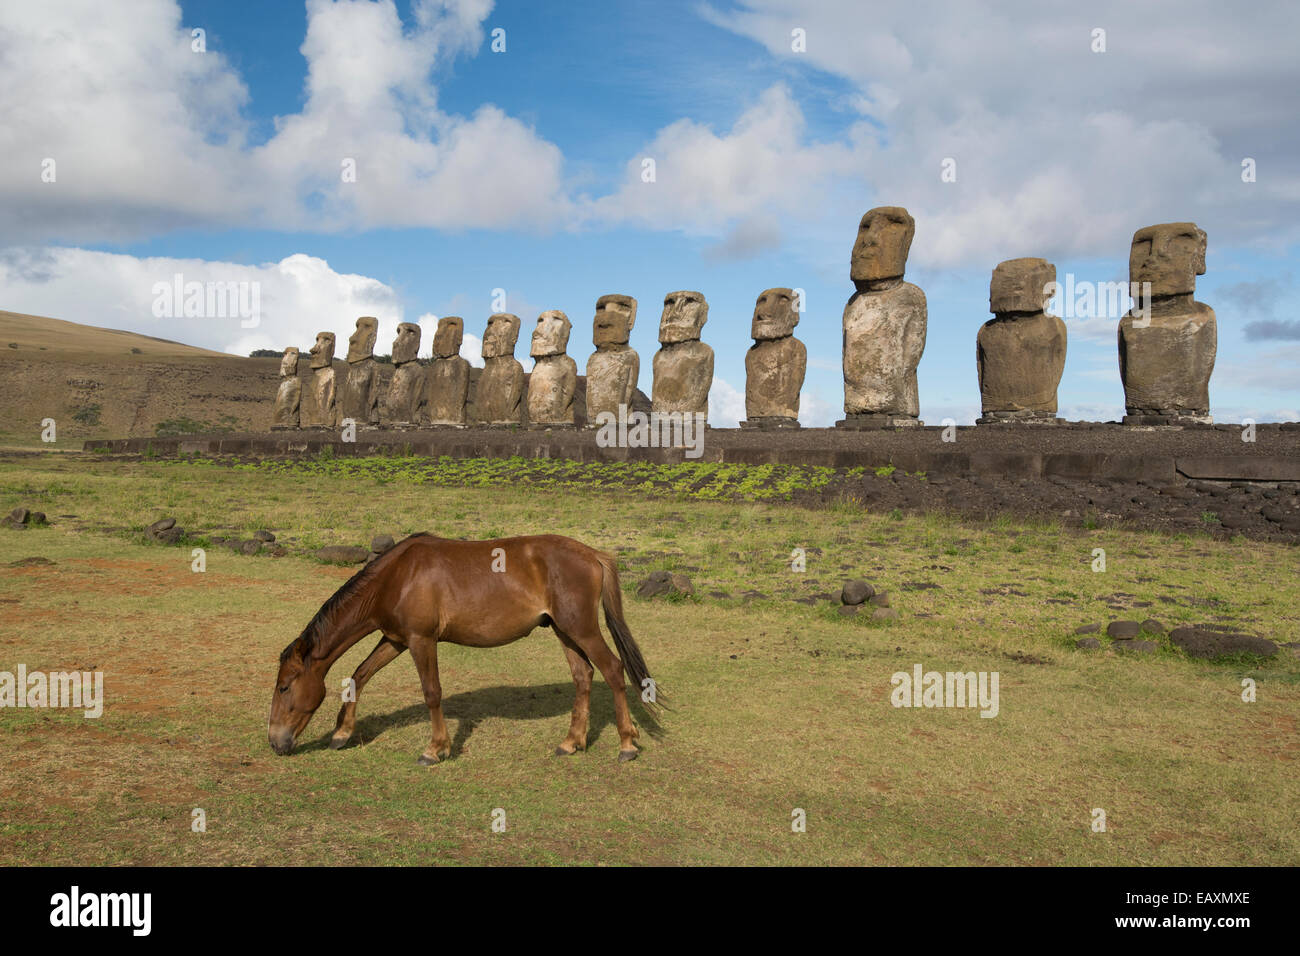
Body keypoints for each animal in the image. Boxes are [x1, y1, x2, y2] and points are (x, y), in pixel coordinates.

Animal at [266, 535, 660, 764]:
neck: (398, 576)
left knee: (613, 670)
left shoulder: (421, 640)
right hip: (564, 630)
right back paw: (572, 742)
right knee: (584, 676)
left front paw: (436, 749)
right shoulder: (395, 639)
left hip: (582, 629)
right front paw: (342, 733)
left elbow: (432, 693)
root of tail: (593, 555)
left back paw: (627, 745)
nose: (275, 742)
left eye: (284, 687)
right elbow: (358, 676)